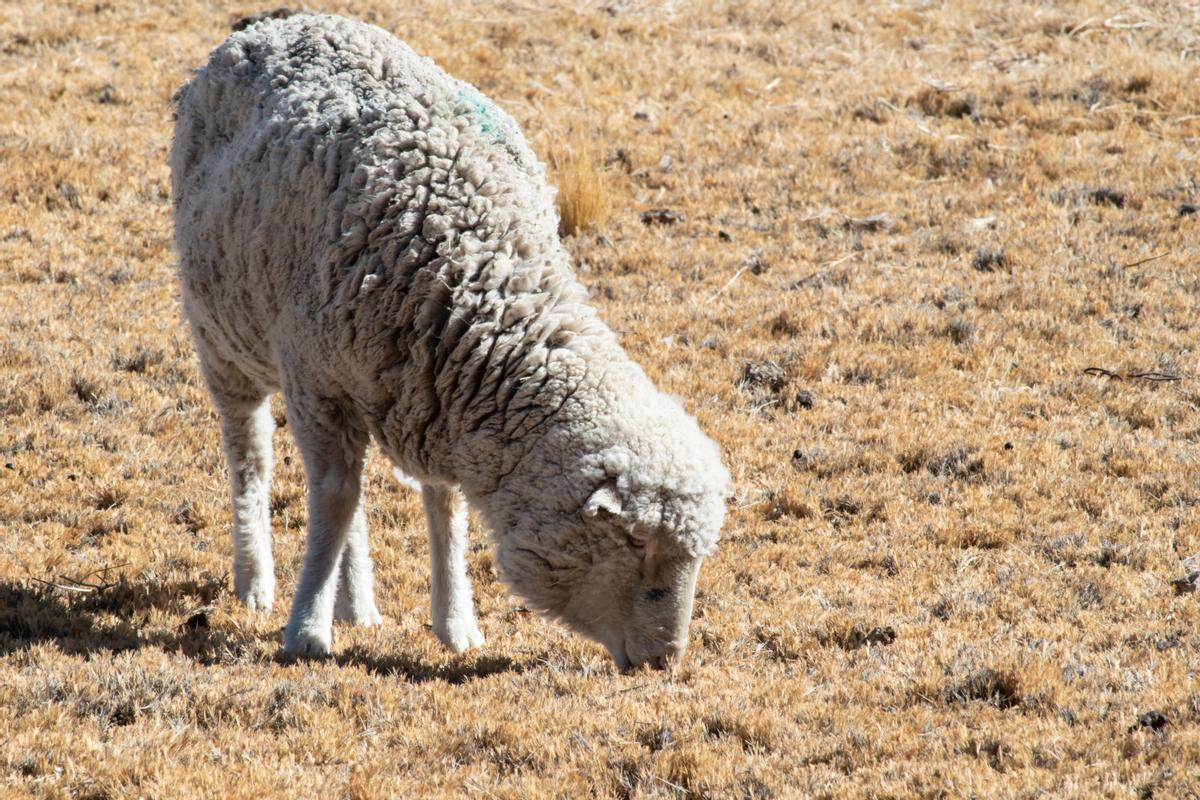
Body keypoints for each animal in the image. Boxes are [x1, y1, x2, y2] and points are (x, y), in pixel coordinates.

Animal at [169, 14, 724, 671]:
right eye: (636, 543)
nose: (667, 659)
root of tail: (279, 24)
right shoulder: (318, 382)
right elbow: (332, 501)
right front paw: (305, 629)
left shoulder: (427, 393)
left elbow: (441, 506)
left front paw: (454, 621)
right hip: (222, 335)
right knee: (251, 453)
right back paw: (256, 578)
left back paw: (356, 603)